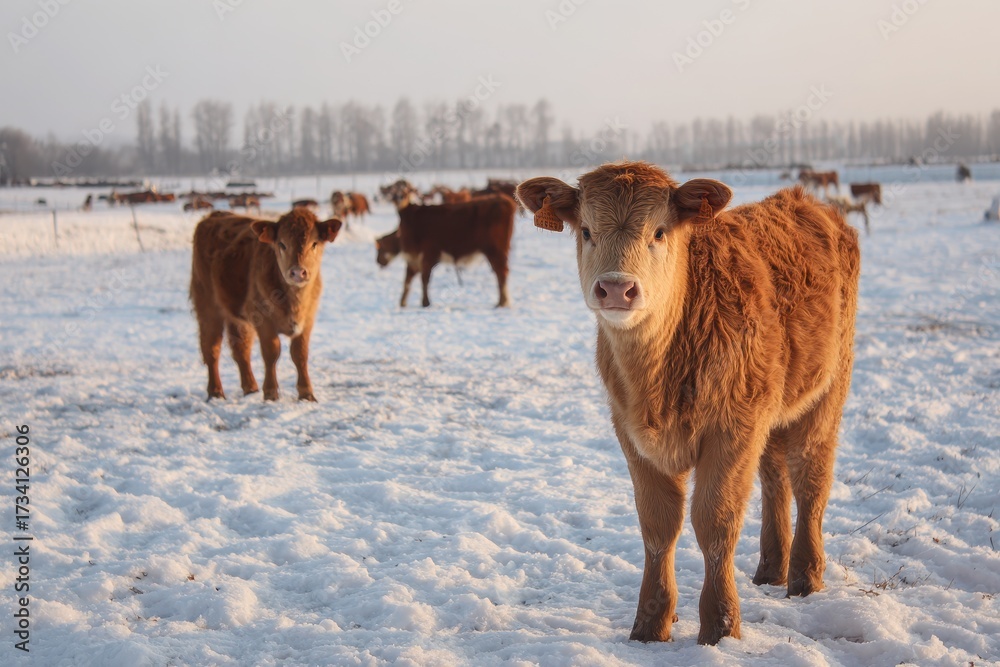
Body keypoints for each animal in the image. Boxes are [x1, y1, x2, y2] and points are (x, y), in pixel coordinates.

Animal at [189, 208, 342, 401]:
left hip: (236, 316)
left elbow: (300, 354)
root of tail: (215, 215)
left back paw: (250, 388)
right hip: (207, 305)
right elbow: (271, 353)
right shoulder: (264, 321)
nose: (297, 272)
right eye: (282, 244)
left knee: (241, 349)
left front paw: (306, 393)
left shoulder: (308, 320)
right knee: (211, 348)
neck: (294, 301)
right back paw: (216, 392)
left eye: (314, 243)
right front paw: (270, 393)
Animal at [375, 194, 516, 308]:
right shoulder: (414, 260)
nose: (377, 261)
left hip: (495, 251)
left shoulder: (428, 255)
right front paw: (403, 302)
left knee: (501, 273)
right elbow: (407, 281)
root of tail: (503, 200)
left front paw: (425, 302)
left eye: (380, 248)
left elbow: (424, 279)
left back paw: (502, 302)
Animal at [517, 161, 860, 646]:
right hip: (769, 409)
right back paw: (771, 568)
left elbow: (715, 522)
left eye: (659, 231)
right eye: (585, 230)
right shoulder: (632, 434)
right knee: (775, 476)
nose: (617, 289)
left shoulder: (733, 428)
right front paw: (650, 623)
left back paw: (805, 576)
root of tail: (805, 202)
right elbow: (658, 524)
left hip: (826, 392)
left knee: (809, 477)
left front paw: (720, 625)